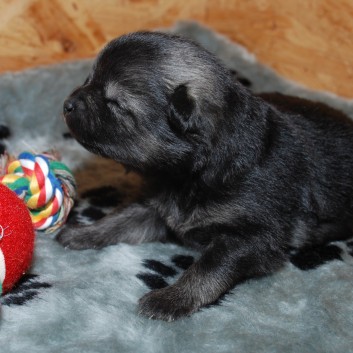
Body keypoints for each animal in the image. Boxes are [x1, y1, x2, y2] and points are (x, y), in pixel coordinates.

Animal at [57, 31, 353, 320]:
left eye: (115, 103)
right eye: (89, 80)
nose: (67, 104)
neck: (191, 175)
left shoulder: (251, 237)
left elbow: (209, 268)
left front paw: (170, 299)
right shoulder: (156, 206)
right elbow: (120, 220)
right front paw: (82, 233)